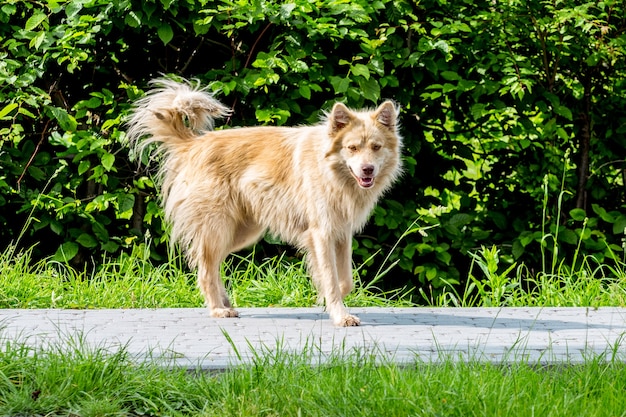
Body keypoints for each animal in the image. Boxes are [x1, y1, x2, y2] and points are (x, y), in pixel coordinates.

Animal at [125, 78, 400, 324]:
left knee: (210, 265)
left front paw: (325, 301)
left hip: (240, 233)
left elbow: (344, 281)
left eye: (376, 147)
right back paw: (217, 309)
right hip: (218, 228)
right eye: (352, 148)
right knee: (205, 269)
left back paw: (225, 302)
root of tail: (193, 144)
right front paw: (339, 314)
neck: (332, 171)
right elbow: (331, 279)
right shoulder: (321, 234)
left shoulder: (341, 234)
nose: (367, 170)